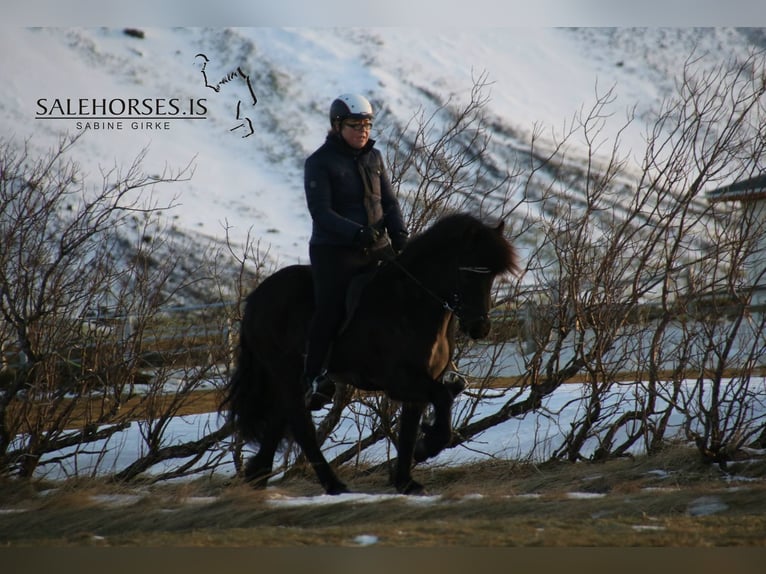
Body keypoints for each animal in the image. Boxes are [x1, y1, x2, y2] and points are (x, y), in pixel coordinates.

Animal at [222, 213, 520, 496]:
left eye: (492, 276)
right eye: (469, 274)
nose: (480, 328)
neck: (412, 303)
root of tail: (256, 298)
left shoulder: (420, 383)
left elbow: (412, 426)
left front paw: (407, 481)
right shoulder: (401, 380)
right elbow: (443, 398)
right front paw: (429, 445)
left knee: (280, 419)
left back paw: (258, 476)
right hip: (284, 371)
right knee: (300, 425)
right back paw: (333, 485)